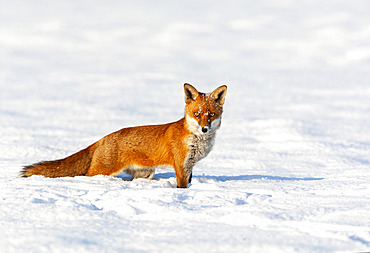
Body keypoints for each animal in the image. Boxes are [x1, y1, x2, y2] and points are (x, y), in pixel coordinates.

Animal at [22, 84, 228, 188]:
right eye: (197, 114)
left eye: (211, 114)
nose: (204, 129)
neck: (197, 142)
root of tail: (102, 139)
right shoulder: (181, 166)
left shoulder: (189, 166)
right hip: (103, 170)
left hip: (145, 174)